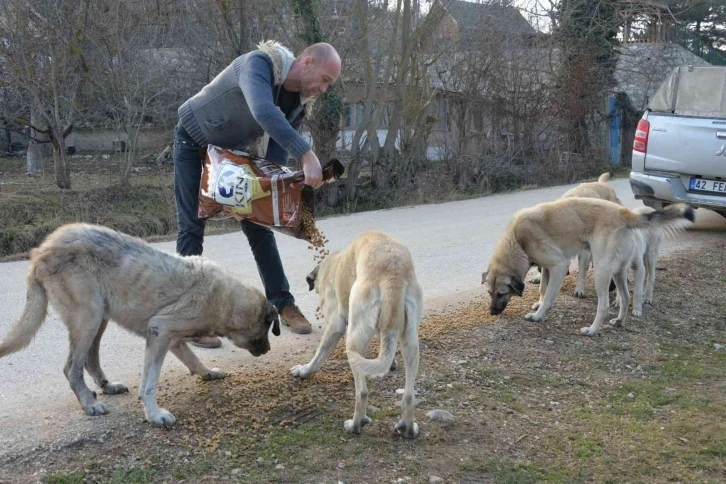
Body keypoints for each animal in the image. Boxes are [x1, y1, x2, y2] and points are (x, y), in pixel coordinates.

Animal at [0, 221, 282, 426]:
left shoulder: (173, 340)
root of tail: (40, 251)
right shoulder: (159, 332)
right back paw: (89, 403)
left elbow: (193, 359)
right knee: (72, 368)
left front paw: (207, 373)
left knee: (90, 359)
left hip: (99, 318)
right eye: (266, 331)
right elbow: (149, 384)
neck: (226, 301)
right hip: (89, 318)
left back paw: (106, 386)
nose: (269, 350)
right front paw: (154, 415)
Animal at [292, 231, 424, 438]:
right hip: (411, 343)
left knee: (362, 392)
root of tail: (393, 272)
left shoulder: (335, 327)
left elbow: (318, 355)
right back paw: (408, 427)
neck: (331, 265)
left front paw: (305, 370)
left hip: (354, 340)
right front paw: (392, 362)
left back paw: (355, 424)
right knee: (409, 395)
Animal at [480, 199, 696, 334]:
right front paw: (539, 304)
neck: (518, 240)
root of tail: (624, 213)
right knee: (626, 298)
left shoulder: (559, 265)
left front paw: (538, 315)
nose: (491, 313)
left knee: (605, 304)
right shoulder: (547, 268)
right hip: (618, 272)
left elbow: (548, 296)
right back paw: (619, 321)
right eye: (490, 293)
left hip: (602, 272)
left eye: (501, 293)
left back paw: (592, 330)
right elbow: (542, 289)